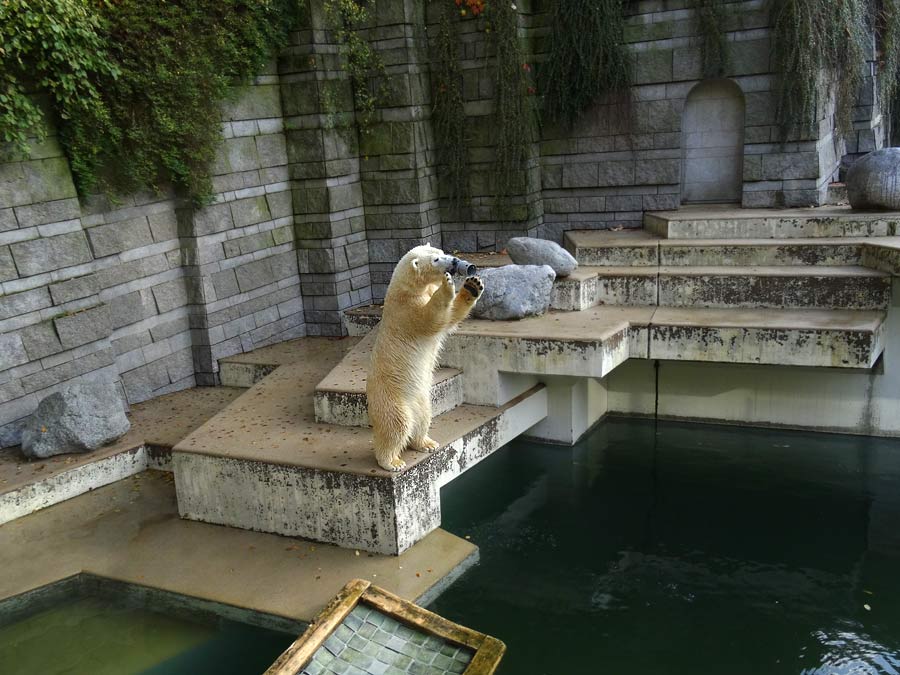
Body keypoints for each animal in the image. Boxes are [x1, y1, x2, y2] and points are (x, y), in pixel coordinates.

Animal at [366, 246, 482, 472]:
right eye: (436, 259)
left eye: (442, 251)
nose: (453, 262)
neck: (406, 286)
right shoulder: (405, 309)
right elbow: (430, 318)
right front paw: (447, 286)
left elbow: (451, 316)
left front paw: (473, 285)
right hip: (391, 398)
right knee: (397, 424)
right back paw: (392, 461)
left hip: (421, 400)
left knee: (423, 418)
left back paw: (426, 443)